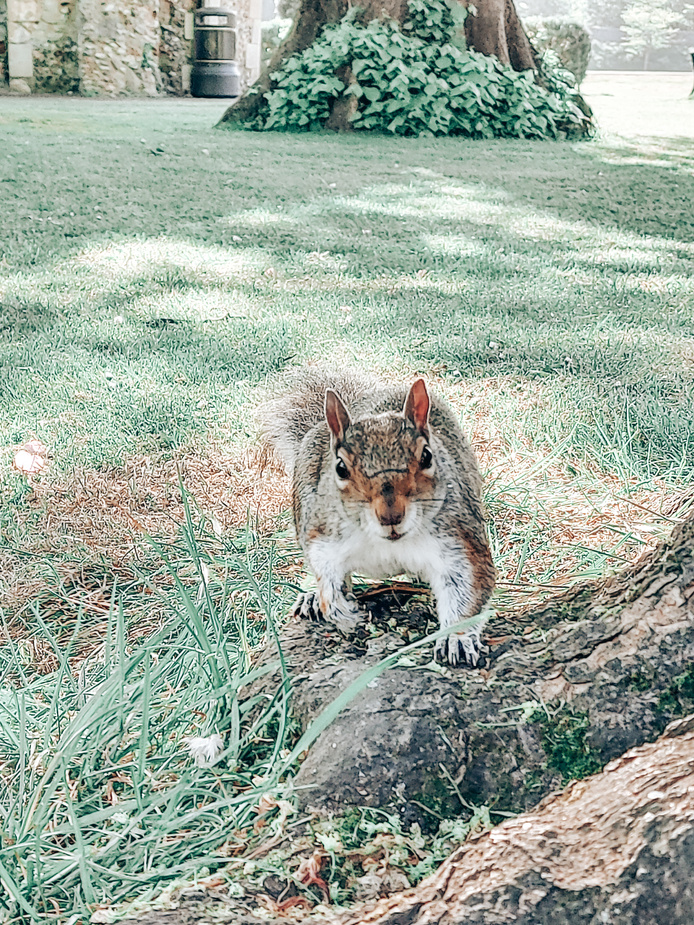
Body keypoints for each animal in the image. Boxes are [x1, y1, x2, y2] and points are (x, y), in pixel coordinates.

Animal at [260, 368, 496, 667]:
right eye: (340, 468)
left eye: (427, 456)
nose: (390, 515)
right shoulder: (322, 536)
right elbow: (328, 584)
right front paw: (343, 614)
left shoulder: (460, 539)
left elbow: (468, 587)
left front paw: (458, 637)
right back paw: (312, 598)